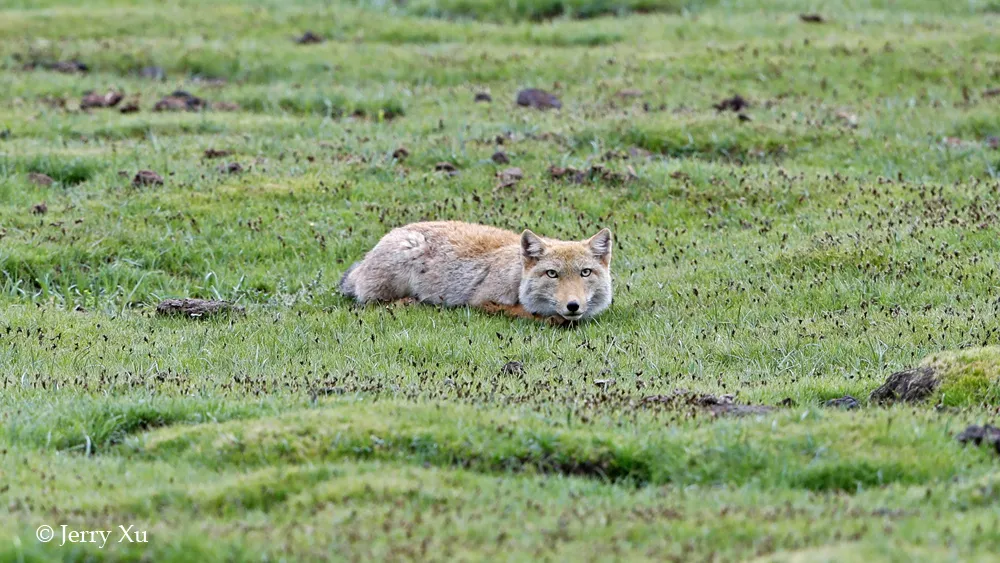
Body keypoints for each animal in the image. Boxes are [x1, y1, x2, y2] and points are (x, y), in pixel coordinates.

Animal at [340, 221, 612, 326]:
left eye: (585, 273)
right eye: (552, 274)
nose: (573, 306)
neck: (516, 276)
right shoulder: (482, 301)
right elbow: (525, 312)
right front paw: (552, 318)